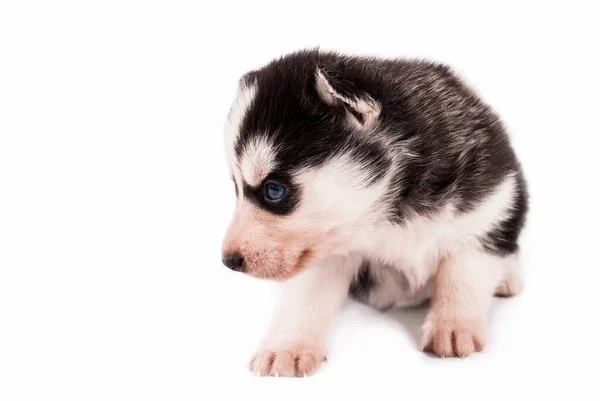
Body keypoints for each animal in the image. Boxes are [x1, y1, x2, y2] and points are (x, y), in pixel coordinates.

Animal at [221, 49, 528, 376]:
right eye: (236, 188)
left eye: (274, 190)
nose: (228, 261)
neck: (382, 219)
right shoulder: (326, 252)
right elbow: (307, 297)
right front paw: (287, 346)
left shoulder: (488, 204)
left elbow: (463, 274)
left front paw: (454, 326)